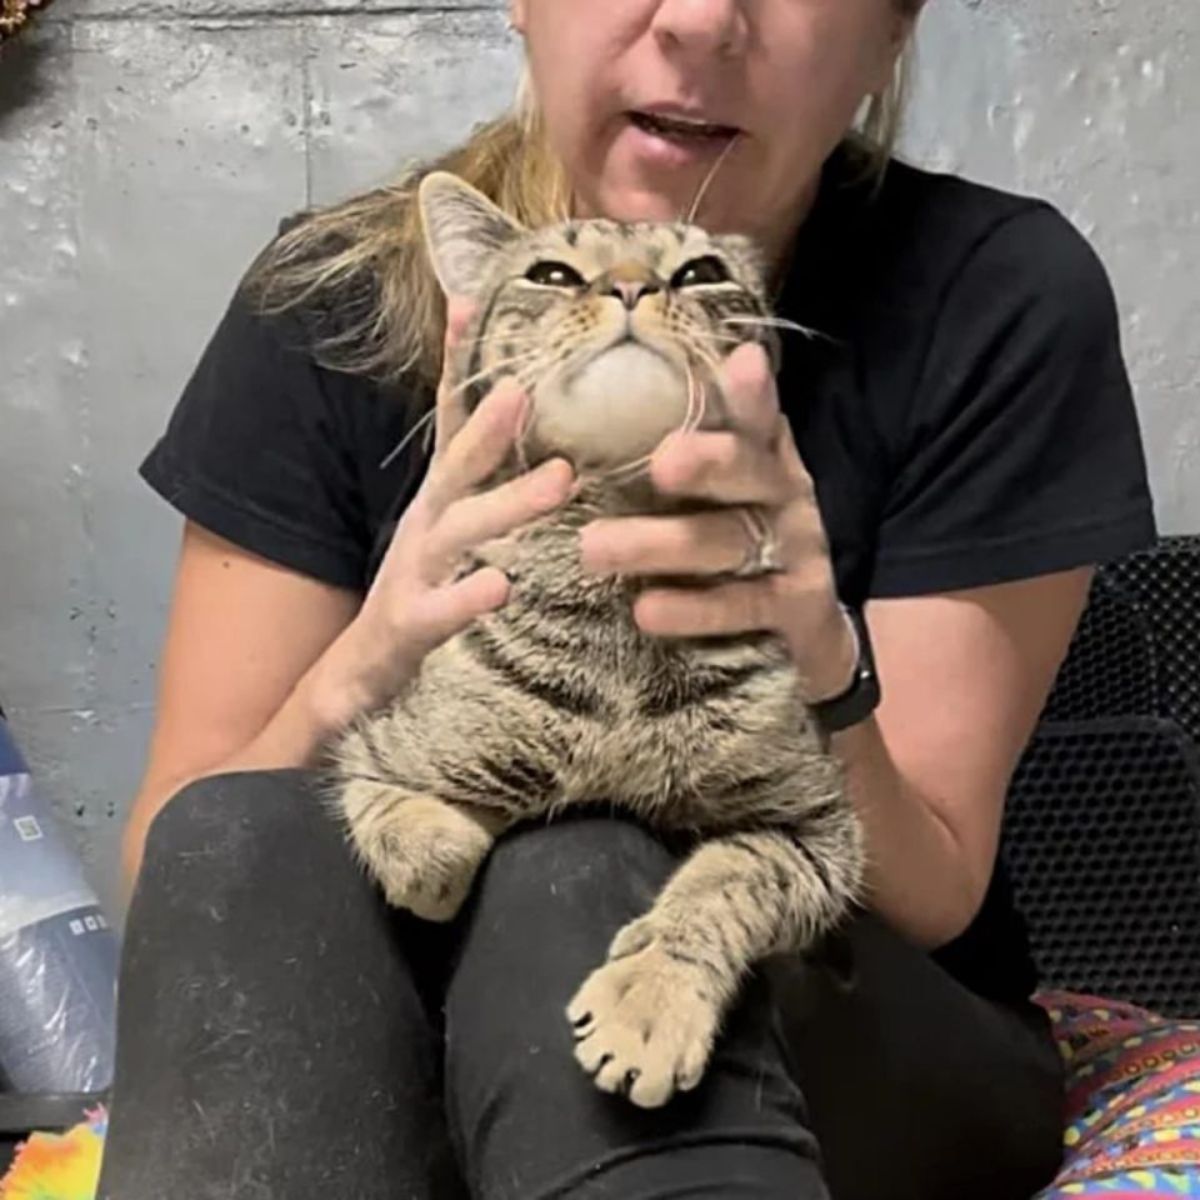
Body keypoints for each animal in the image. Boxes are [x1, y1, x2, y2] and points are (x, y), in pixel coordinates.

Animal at [333, 169, 864, 1104]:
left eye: (699, 272)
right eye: (551, 274)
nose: (629, 287)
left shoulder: (820, 832)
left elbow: (724, 878)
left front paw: (651, 1000)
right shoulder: (375, 749)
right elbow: (413, 833)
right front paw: (451, 848)